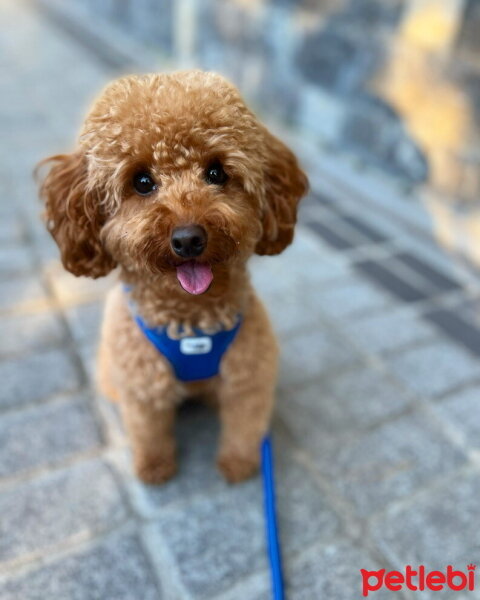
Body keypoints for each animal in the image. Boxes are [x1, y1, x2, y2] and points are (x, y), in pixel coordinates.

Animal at [38, 71, 308, 482]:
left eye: (216, 172)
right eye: (142, 181)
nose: (188, 238)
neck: (191, 320)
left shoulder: (247, 381)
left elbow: (245, 426)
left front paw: (238, 464)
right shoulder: (143, 387)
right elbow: (148, 431)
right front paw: (154, 467)